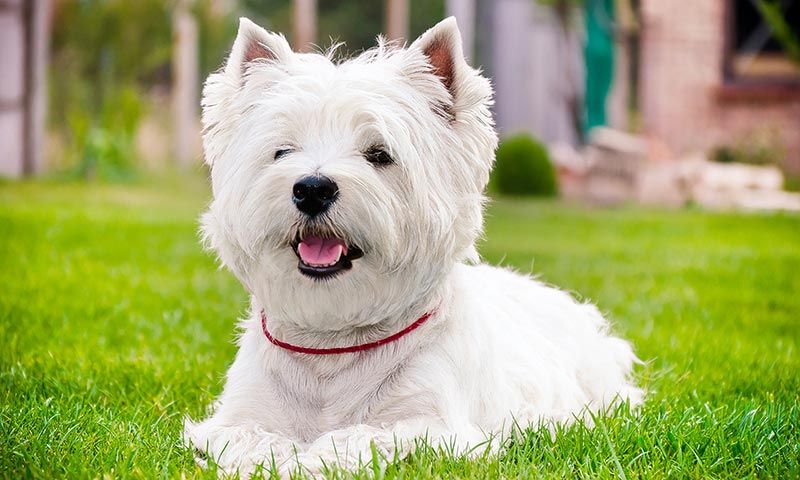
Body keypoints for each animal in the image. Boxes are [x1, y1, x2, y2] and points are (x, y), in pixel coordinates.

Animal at [184, 15, 640, 476]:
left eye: (379, 154)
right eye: (282, 151)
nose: (312, 189)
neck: (332, 349)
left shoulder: (433, 423)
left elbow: (360, 435)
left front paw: (313, 462)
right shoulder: (238, 416)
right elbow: (253, 439)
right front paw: (277, 460)